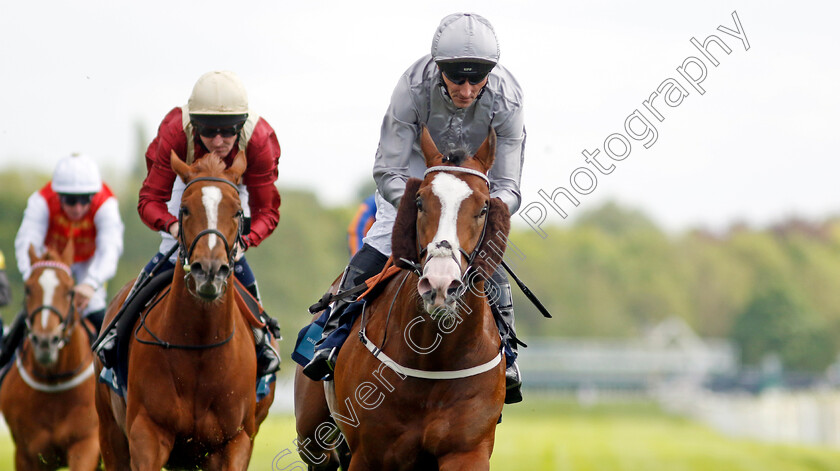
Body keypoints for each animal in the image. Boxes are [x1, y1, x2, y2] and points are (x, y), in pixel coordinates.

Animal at [0, 243, 100, 471]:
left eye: (70, 291)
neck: (54, 380)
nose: (45, 341)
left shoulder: (86, 444)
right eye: (28, 289)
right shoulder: (26, 453)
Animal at [94, 152, 276, 471]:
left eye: (237, 212)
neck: (199, 350)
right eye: (185, 209)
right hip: (110, 432)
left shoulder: (235, 442)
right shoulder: (147, 434)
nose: (210, 271)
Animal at [298, 127, 516, 470]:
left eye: (483, 208)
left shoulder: (467, 451)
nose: (441, 284)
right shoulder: (369, 454)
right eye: (420, 201)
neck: (433, 360)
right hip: (315, 441)